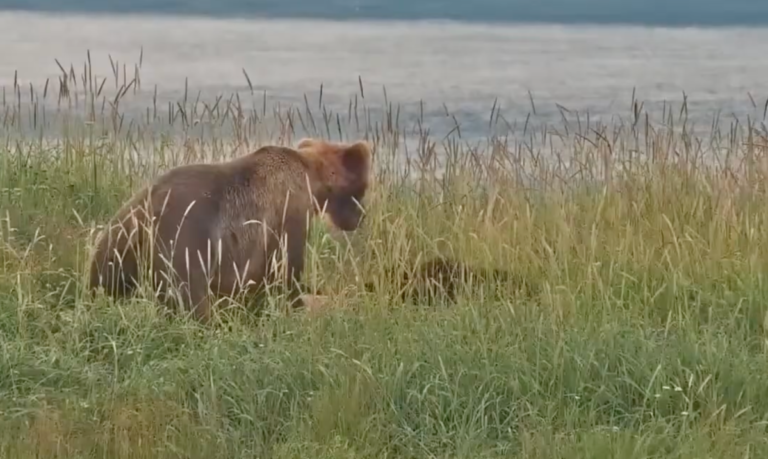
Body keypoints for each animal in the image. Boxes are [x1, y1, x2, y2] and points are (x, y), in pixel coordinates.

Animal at [88, 137, 372, 323]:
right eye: (363, 188)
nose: (360, 218)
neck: (309, 178)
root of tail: (143, 216)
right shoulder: (287, 213)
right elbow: (285, 270)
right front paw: (296, 303)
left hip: (118, 241)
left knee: (105, 279)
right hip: (183, 239)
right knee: (190, 294)